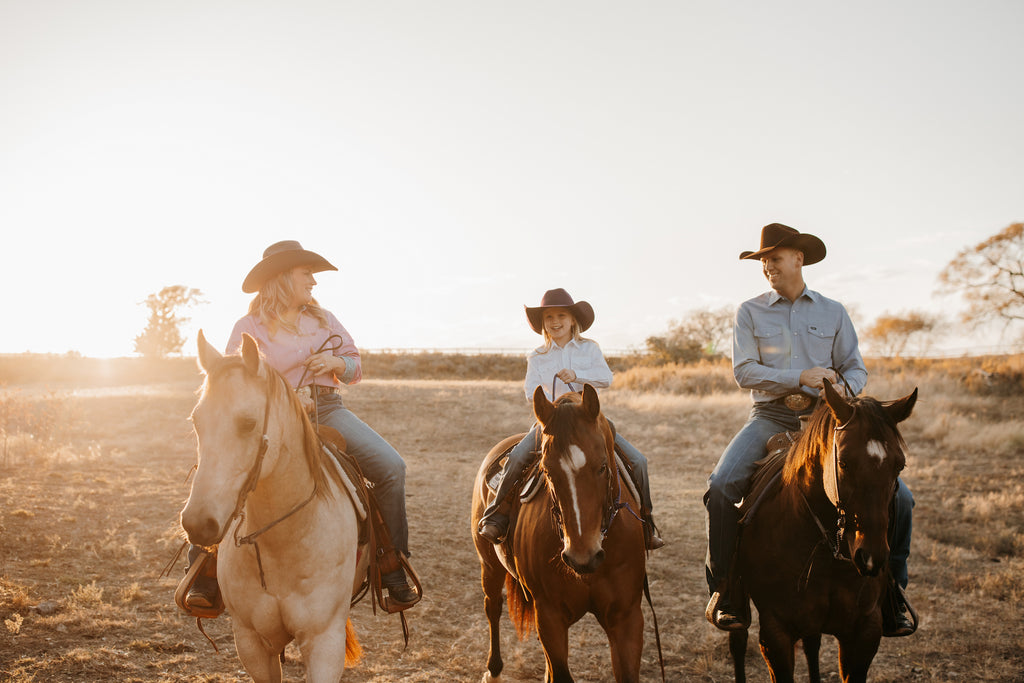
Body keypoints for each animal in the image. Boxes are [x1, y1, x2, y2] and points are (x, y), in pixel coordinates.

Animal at [180, 331, 368, 683]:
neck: (283, 543)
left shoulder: (324, 642)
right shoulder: (251, 642)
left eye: (248, 423)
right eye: (196, 420)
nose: (198, 523)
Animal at [473, 387, 647, 679]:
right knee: (493, 607)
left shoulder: (626, 618)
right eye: (548, 471)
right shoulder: (550, 617)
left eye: (602, 466)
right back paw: (493, 670)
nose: (582, 557)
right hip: (489, 564)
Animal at [729, 382, 921, 679]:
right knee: (737, 643)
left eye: (899, 465)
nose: (871, 557)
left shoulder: (865, 631)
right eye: (843, 462)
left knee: (812, 645)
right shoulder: (775, 634)